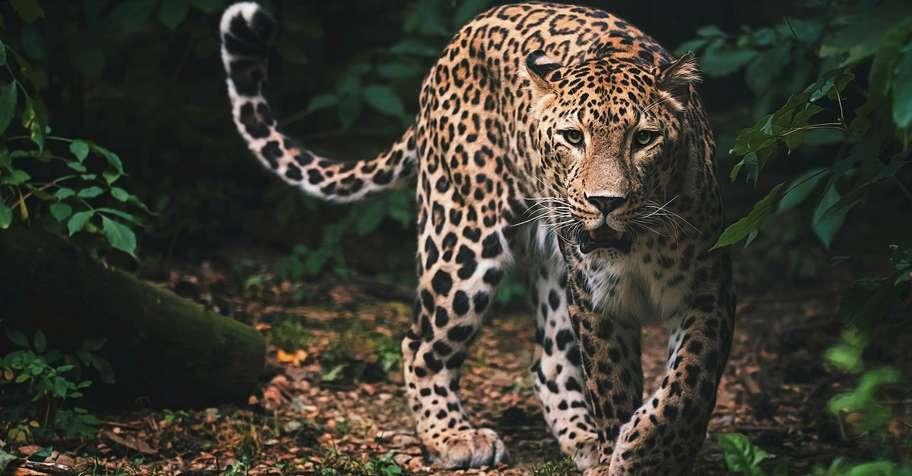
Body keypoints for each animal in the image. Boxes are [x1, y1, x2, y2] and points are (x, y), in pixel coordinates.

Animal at [219, 2, 735, 474]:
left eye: (644, 139)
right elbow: (613, 387)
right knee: (420, 343)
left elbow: (687, 386)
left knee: (548, 362)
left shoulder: (708, 290)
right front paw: (626, 452)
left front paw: (650, 451)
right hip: (462, 239)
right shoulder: (596, 302)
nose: (605, 201)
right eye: (573, 137)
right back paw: (454, 437)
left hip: (550, 267)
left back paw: (583, 441)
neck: (638, 244)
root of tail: (461, 36)